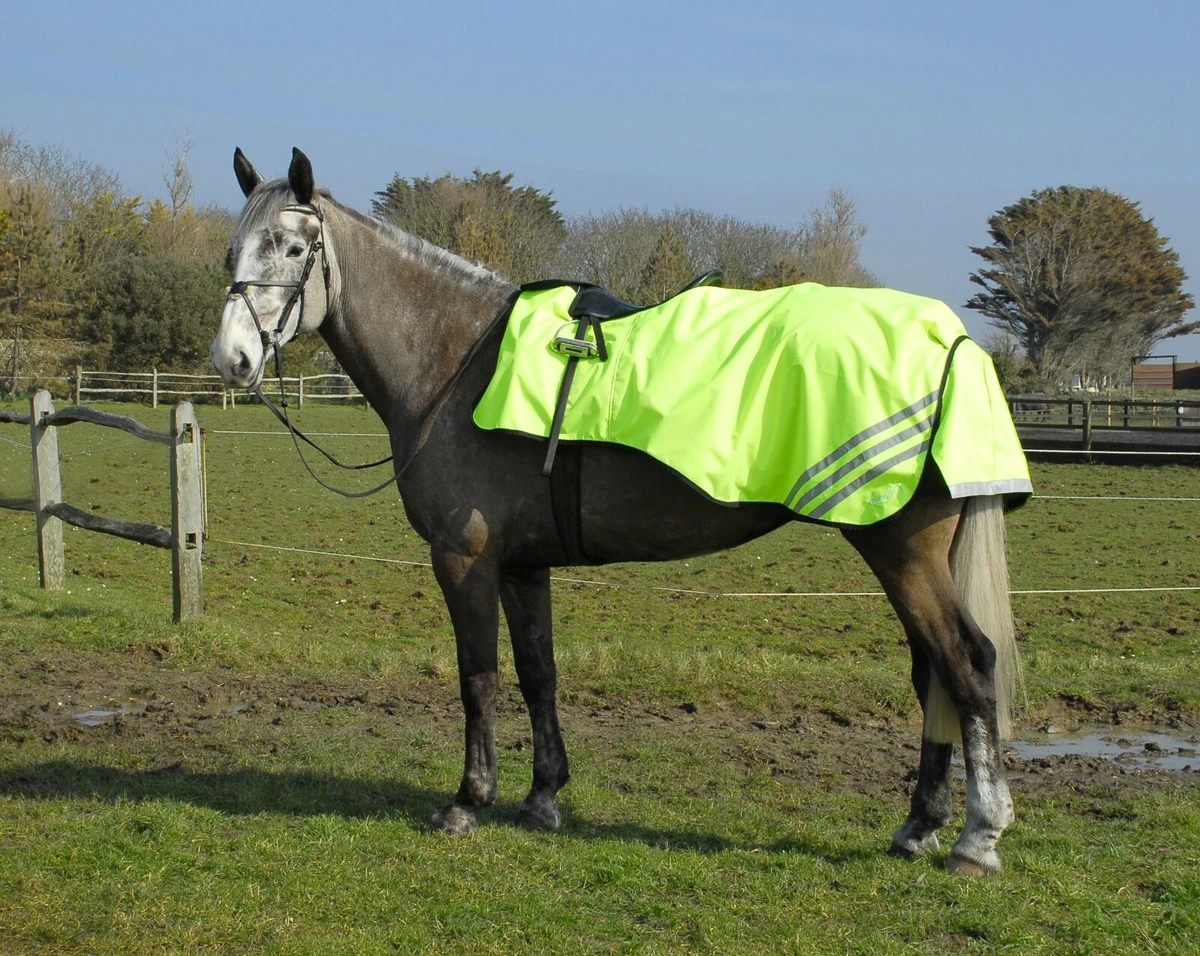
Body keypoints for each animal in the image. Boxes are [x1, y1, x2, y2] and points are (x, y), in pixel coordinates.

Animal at [210, 148, 1023, 876]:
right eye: (233, 249)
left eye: (292, 247)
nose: (232, 360)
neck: (456, 360)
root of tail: (950, 340)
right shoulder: (523, 565)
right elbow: (538, 672)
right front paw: (543, 796)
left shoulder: (463, 558)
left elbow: (478, 675)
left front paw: (469, 801)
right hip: (904, 554)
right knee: (931, 674)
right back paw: (920, 824)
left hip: (899, 550)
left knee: (967, 663)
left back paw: (977, 837)